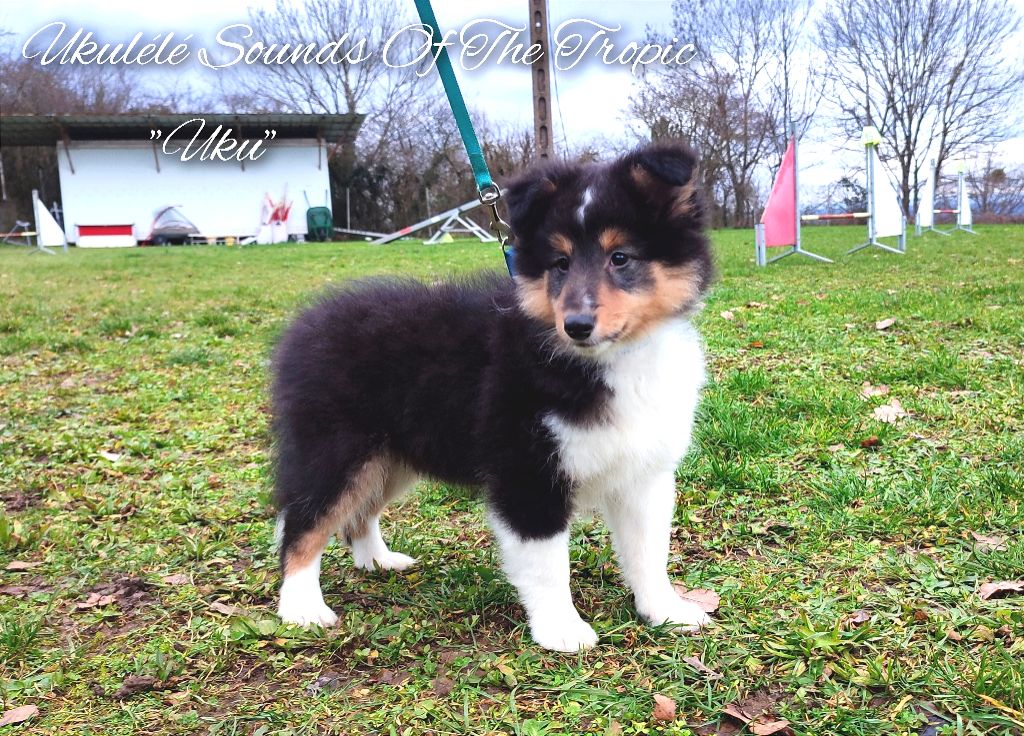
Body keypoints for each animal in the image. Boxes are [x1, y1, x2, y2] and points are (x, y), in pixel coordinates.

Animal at [276, 142, 716, 651]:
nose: (576, 326)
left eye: (620, 257)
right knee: (303, 524)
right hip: (335, 449)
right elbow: (548, 564)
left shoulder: (643, 473)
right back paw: (301, 608)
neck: (610, 360)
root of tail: (306, 324)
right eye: (560, 263)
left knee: (356, 515)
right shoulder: (527, 470)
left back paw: (378, 561)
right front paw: (563, 631)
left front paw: (666, 612)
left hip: (390, 457)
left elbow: (648, 553)